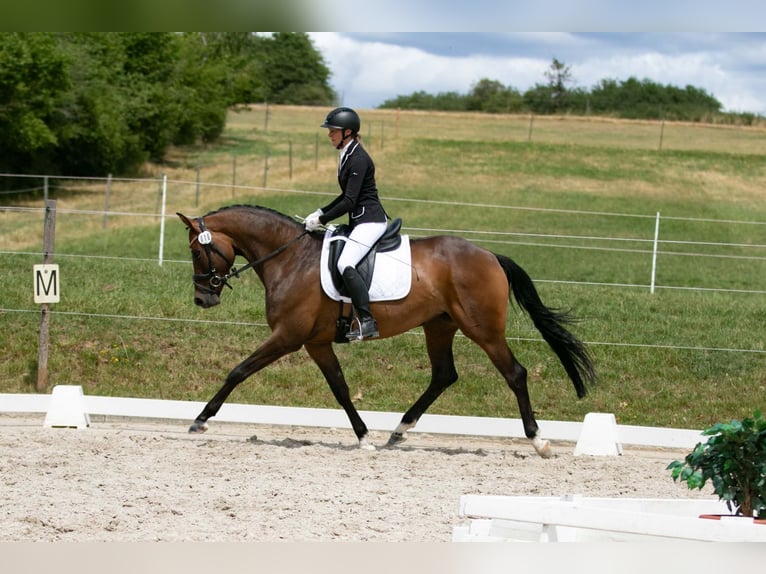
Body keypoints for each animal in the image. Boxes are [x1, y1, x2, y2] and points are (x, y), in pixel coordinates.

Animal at [177, 206, 596, 460]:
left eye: (197, 252)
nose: (202, 299)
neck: (290, 259)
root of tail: (490, 255)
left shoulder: (288, 337)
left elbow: (239, 371)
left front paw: (200, 419)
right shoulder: (316, 343)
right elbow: (340, 389)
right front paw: (364, 438)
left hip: (483, 329)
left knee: (514, 374)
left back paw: (539, 441)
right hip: (439, 326)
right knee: (444, 375)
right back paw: (399, 431)